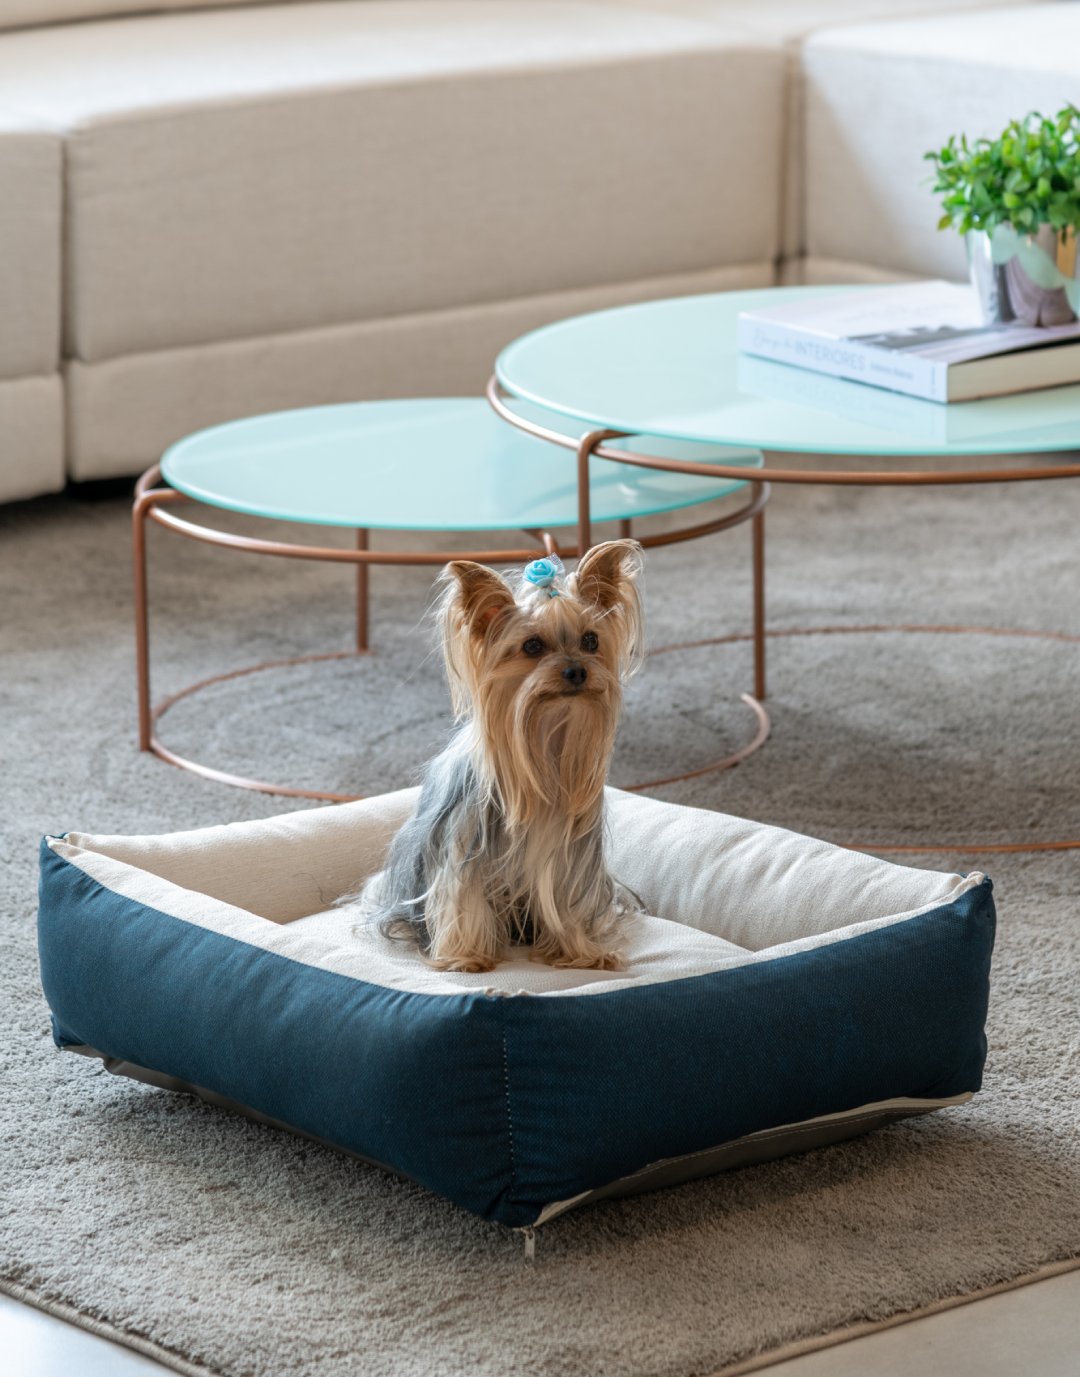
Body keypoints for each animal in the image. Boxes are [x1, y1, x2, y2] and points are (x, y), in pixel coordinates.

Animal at [355, 539, 644, 972]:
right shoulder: (463, 849)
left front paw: (582, 953)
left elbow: (565, 903)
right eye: (532, 646)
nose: (577, 671)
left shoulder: (569, 861)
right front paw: (469, 958)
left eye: (591, 640)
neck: (545, 741)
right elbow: (465, 899)